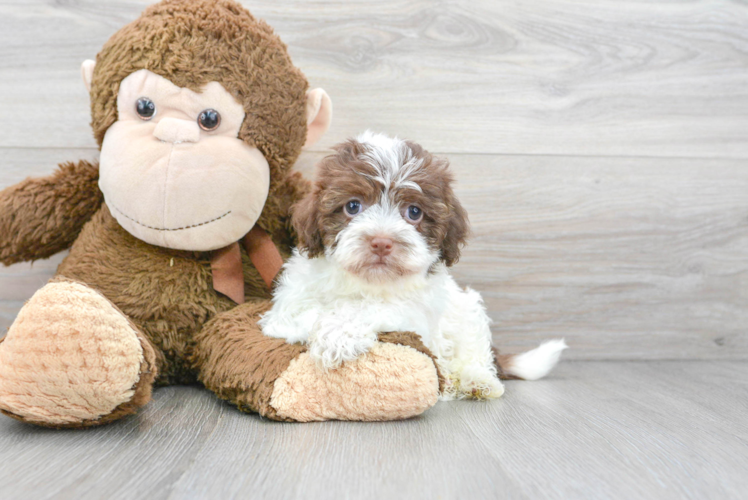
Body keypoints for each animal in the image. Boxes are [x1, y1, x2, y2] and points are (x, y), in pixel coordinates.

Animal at [260, 132, 564, 398]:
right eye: (353, 206)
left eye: (414, 212)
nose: (381, 242)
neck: (367, 282)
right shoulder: (291, 299)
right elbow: (296, 315)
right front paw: (320, 326)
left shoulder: (415, 311)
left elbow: (371, 308)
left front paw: (337, 334)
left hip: (467, 308)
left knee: (475, 349)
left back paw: (476, 381)